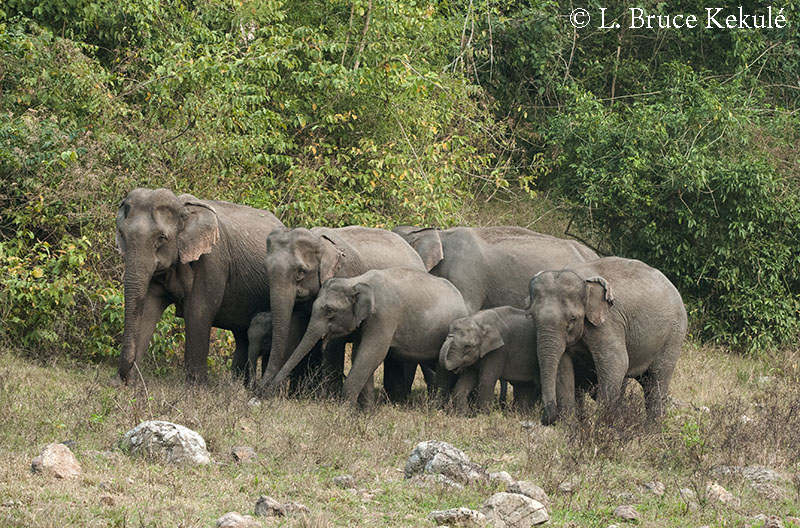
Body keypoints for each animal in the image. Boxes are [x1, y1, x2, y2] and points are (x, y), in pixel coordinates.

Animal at [115, 187, 283, 384]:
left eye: (161, 238)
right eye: (122, 234)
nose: (123, 377)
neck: (183, 208)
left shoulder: (212, 260)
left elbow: (198, 311)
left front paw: (197, 387)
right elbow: (148, 308)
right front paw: (128, 384)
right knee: (242, 336)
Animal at [261, 226, 427, 399]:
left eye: (301, 272)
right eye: (265, 269)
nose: (261, 392)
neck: (318, 239)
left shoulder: (344, 274)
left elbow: (334, 342)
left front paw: (329, 398)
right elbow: (293, 329)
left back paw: (396, 399)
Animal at [263, 267, 469, 407]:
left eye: (330, 311)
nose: (266, 394)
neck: (355, 282)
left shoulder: (384, 315)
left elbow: (371, 354)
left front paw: (345, 410)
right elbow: (359, 354)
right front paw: (366, 411)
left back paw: (438, 407)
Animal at [440, 306, 597, 412]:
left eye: (467, 347)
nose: (449, 336)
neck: (479, 320)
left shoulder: (499, 351)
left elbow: (487, 380)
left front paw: (483, 415)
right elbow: (467, 379)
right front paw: (461, 414)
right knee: (524, 388)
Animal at [528, 256, 687, 425]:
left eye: (572, 318)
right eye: (532, 316)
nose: (546, 419)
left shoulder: (609, 322)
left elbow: (616, 363)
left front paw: (603, 425)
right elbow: (563, 367)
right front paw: (569, 425)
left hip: (674, 334)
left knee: (656, 379)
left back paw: (652, 428)